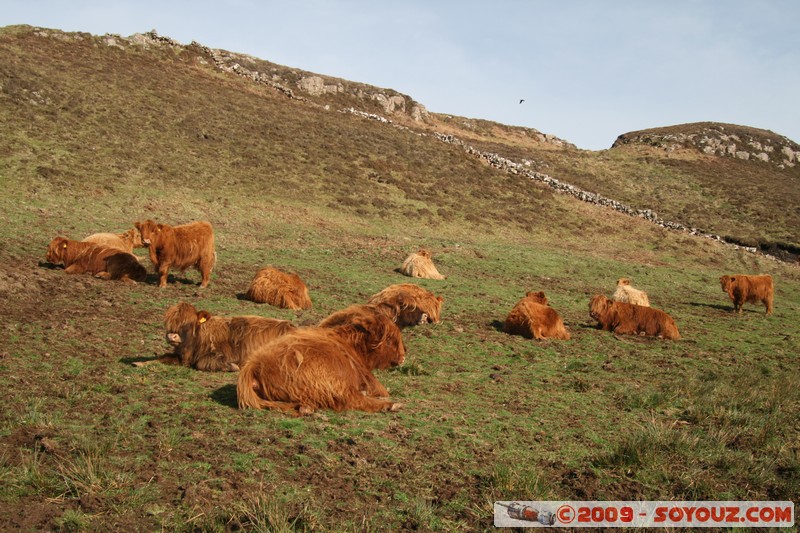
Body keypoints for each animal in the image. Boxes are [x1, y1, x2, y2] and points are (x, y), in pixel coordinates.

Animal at [137, 302, 296, 371]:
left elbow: (202, 363)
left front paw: (232, 366)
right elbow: (164, 357)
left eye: (187, 323)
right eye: (168, 322)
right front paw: (140, 363)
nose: (172, 336)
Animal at [237, 311, 405, 415]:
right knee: (352, 399)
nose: (403, 356)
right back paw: (391, 405)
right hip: (332, 382)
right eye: (390, 340)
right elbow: (382, 390)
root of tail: (253, 366)